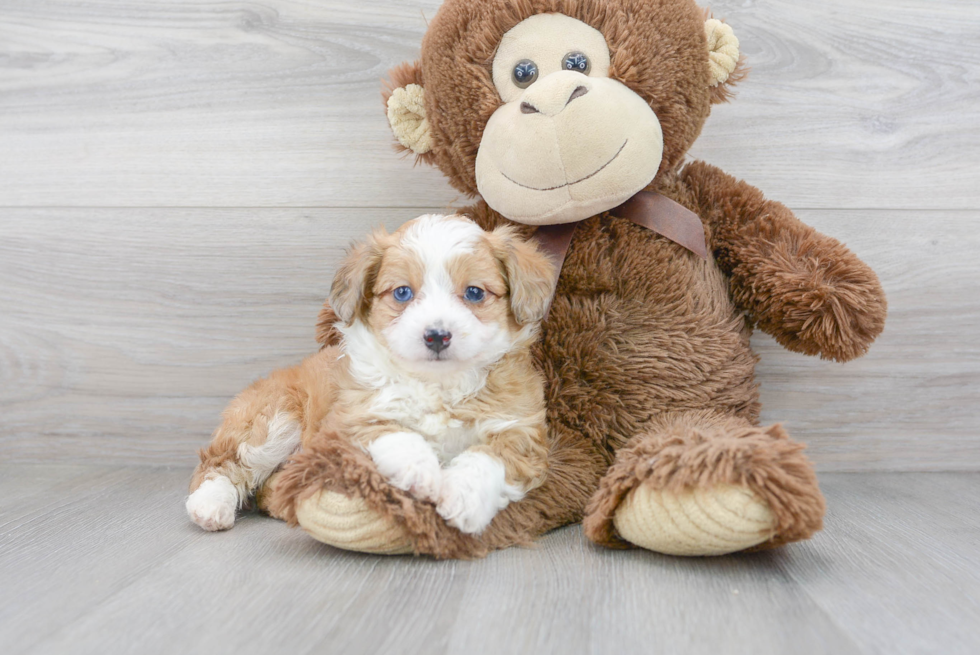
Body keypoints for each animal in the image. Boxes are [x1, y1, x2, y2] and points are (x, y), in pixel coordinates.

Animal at [187, 218, 556, 536]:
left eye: (475, 293)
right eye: (403, 293)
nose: (437, 335)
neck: (437, 384)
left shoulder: (520, 431)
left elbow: (489, 458)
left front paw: (463, 497)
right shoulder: (347, 419)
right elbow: (394, 433)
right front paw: (422, 473)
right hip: (274, 419)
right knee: (221, 463)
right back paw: (209, 505)